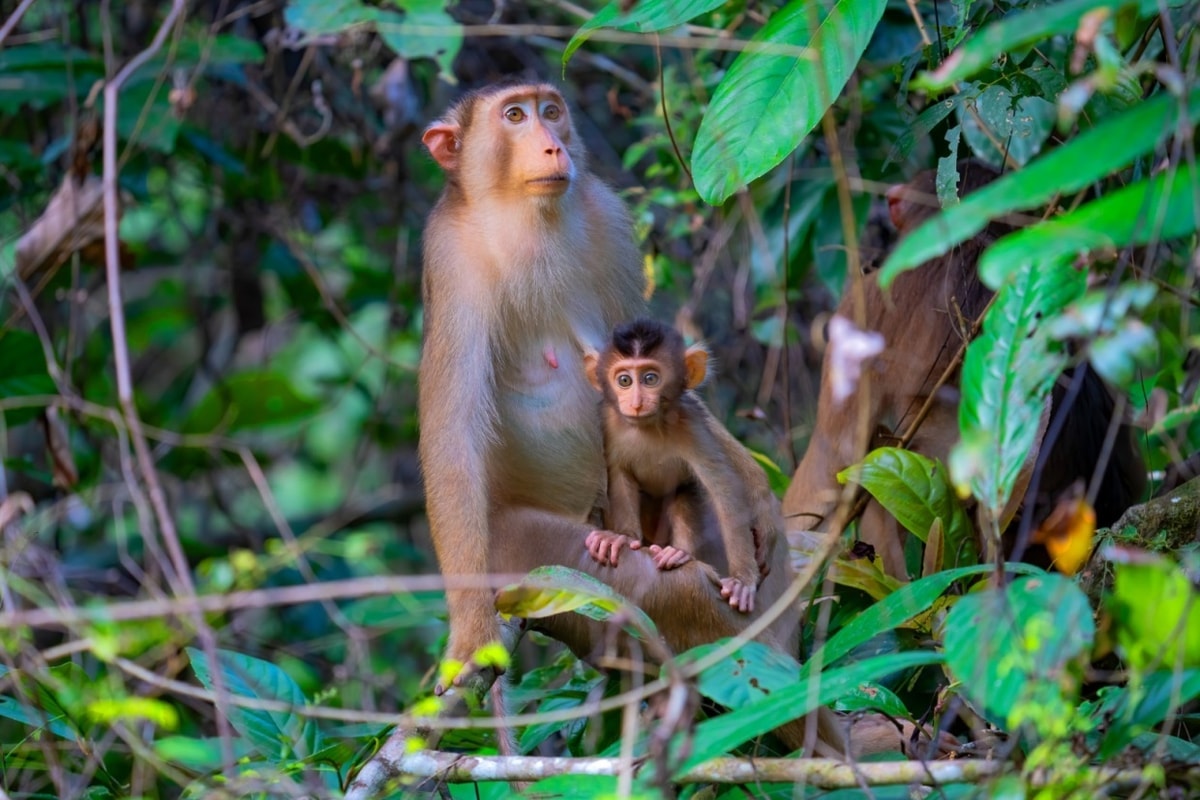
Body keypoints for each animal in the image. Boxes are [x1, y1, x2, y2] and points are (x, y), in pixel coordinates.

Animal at [582, 318, 776, 614]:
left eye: (650, 378)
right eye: (624, 380)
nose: (636, 403)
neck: (648, 427)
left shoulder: (692, 424)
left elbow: (723, 489)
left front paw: (743, 580)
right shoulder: (607, 422)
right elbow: (618, 476)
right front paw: (622, 537)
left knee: (684, 493)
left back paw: (678, 553)